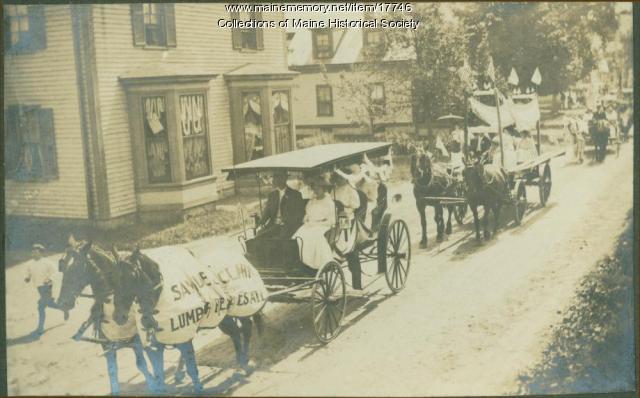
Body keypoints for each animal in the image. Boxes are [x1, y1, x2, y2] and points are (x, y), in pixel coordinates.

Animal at [57, 236, 158, 394]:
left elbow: (142, 364)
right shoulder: (107, 344)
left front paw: (154, 384)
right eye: (62, 268)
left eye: (75, 268)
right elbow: (112, 370)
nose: (62, 303)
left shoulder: (136, 340)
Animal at [113, 247, 264, 394]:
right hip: (224, 318)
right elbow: (158, 371)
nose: (118, 316)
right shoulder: (158, 343)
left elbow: (191, 368)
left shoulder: (183, 337)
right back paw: (242, 361)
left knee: (246, 329)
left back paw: (245, 361)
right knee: (236, 333)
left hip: (242, 308)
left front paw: (197, 388)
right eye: (113, 278)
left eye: (132, 276)